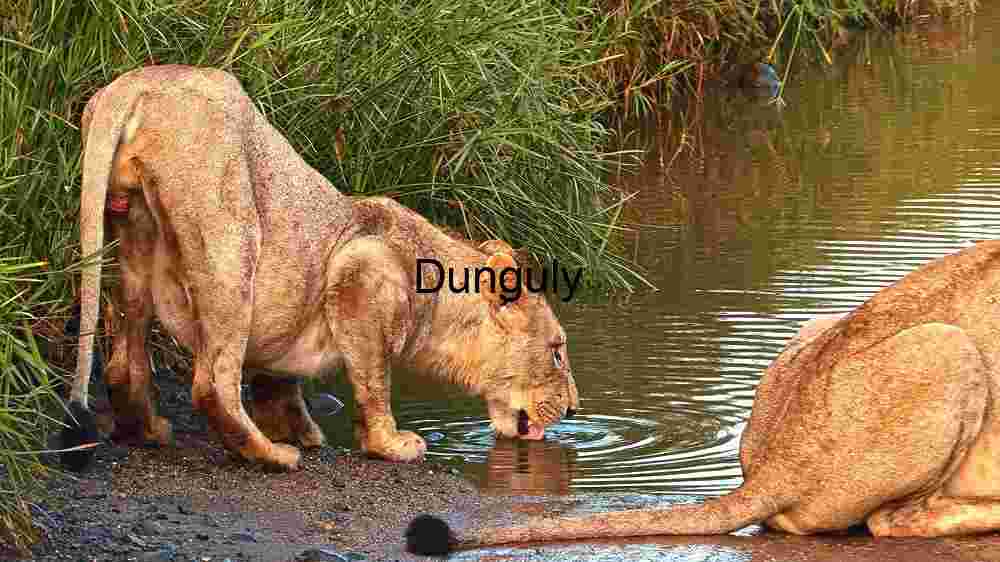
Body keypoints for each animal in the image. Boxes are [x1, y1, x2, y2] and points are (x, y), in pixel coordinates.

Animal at [61, 64, 579, 472]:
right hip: (233, 233)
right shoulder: (361, 276)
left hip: (132, 233)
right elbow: (373, 382)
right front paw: (390, 445)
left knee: (124, 357)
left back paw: (149, 430)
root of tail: (135, 83)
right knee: (212, 381)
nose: (574, 409)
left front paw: (301, 431)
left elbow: (277, 381)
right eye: (556, 352)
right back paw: (270, 456)